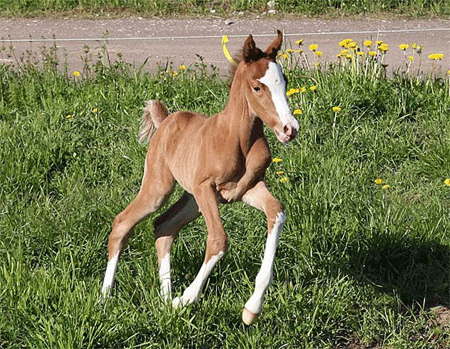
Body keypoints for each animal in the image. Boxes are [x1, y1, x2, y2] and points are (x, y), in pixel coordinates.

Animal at [102, 29, 298, 324]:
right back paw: (105, 296)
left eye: (283, 83)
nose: (289, 129)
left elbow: (277, 212)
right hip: (160, 187)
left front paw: (252, 309)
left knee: (163, 226)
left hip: (191, 201)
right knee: (124, 222)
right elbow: (218, 240)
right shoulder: (207, 188)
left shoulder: (247, 189)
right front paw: (185, 299)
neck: (237, 138)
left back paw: (164, 300)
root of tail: (165, 120)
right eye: (257, 87)